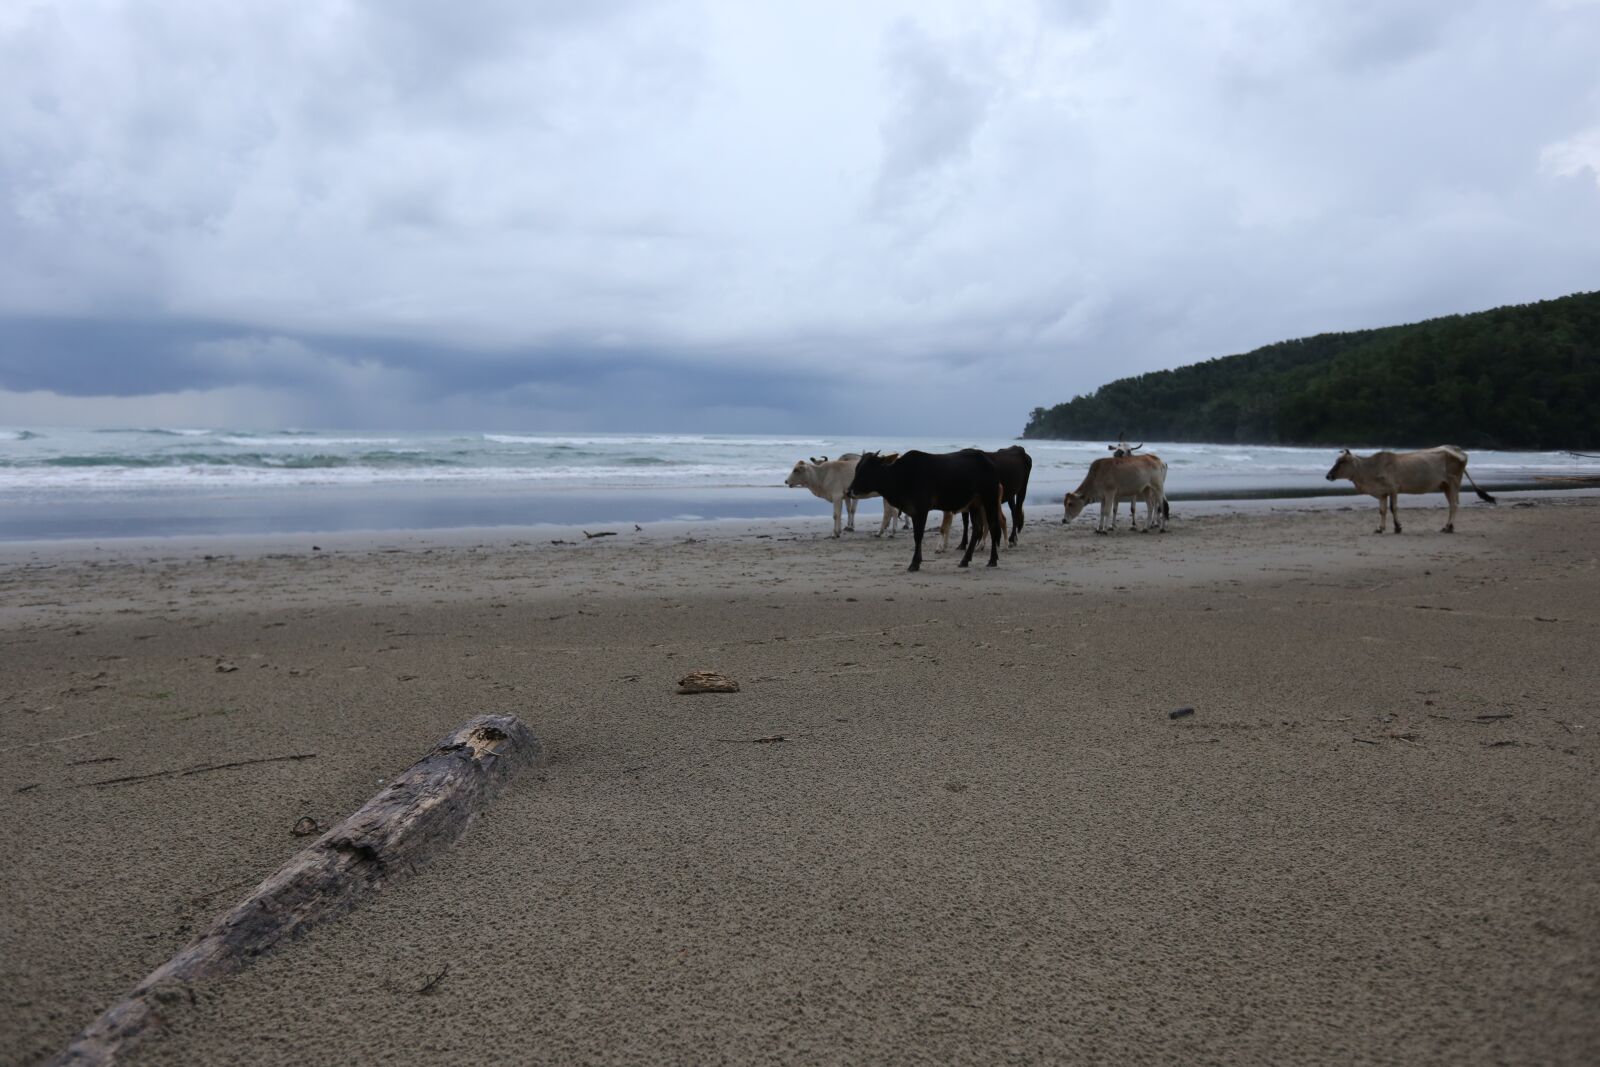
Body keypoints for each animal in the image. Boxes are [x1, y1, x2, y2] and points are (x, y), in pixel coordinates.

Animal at [851, 447, 998, 572]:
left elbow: (918, 536)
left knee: (993, 526)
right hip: (974, 505)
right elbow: (917, 536)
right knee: (977, 530)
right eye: (857, 468)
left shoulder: (922, 510)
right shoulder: (914, 512)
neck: (901, 475)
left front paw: (914, 563)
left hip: (989, 499)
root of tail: (988, 461)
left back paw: (992, 560)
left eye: (867, 469)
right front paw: (917, 561)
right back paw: (965, 560)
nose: (850, 490)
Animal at [1318, 447, 1491, 534]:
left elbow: (1393, 508)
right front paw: (1380, 528)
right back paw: (1447, 526)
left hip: (1453, 483)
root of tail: (1459, 451)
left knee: (1454, 505)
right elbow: (1382, 511)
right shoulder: (1382, 493)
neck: (1370, 470)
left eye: (1342, 461)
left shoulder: (1394, 489)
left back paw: (1448, 527)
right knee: (1451, 505)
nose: (1328, 475)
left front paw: (1397, 527)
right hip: (1445, 486)